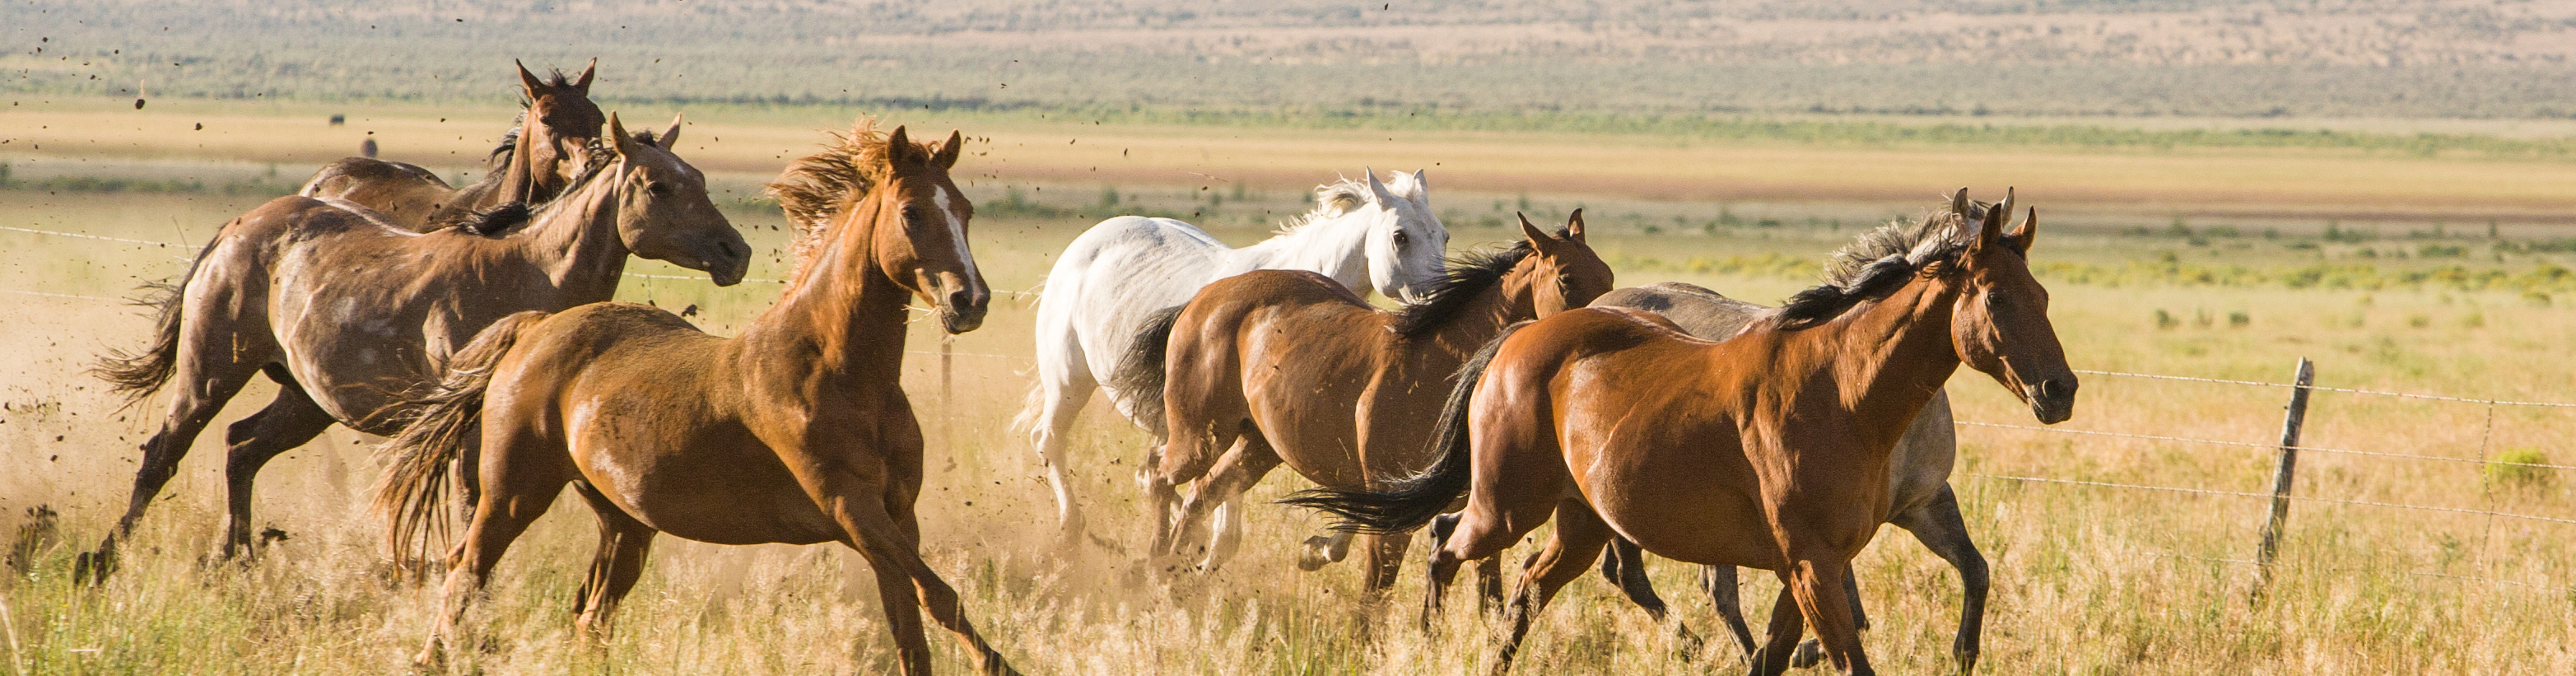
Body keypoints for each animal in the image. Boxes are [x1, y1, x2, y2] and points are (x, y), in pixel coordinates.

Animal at [78, 114, 749, 584]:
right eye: (658, 185)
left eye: (698, 179)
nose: (735, 252)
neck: (525, 272)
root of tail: (238, 228)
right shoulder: (469, 426)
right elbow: (471, 503)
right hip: (211, 373)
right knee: (164, 453)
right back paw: (104, 559)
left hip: (306, 400)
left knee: (242, 448)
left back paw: (234, 559)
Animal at [373, 120, 1019, 675]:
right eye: (911, 212)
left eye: (964, 211)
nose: (970, 301)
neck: (844, 377)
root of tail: (535, 329)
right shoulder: (851, 508)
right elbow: (940, 595)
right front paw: (1004, 665)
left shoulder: (896, 516)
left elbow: (914, 624)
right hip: (512, 493)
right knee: (466, 570)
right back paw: (428, 658)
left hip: (625, 523)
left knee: (589, 614)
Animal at [1017, 169, 1451, 545]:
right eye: (1400, 237)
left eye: (1444, 236)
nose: (1442, 299)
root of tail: (1085, 242)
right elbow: (1226, 530)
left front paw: (1323, 548)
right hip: (1069, 382)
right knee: (1049, 441)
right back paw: (1072, 530)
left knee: (1149, 473)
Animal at [1113, 212, 1612, 589]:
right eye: (1566, 279)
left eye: (1606, 275)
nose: (1607, 319)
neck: (1442, 365)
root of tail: (1203, 298)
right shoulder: (1393, 517)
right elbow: (1375, 595)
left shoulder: (1485, 512)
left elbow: (1489, 594)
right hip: (1200, 435)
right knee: (1159, 478)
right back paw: (1152, 569)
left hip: (1257, 447)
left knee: (1200, 496)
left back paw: (1176, 578)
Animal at [1590, 281, 1982, 672]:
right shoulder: (1818, 530)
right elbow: (1849, 613)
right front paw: (1801, 652)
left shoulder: (1924, 503)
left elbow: (1974, 569)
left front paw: (1964, 654)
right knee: (1671, 583)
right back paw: (1712, 647)